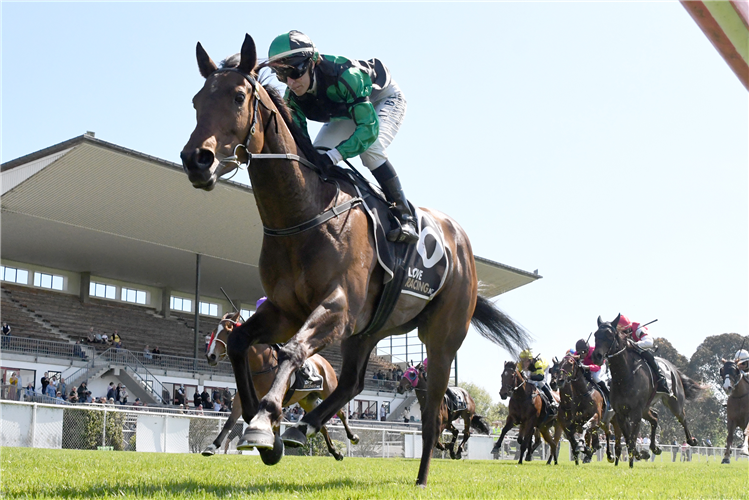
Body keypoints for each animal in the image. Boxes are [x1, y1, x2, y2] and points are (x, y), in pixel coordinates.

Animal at [202, 310, 360, 462]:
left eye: (229, 331)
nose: (211, 356)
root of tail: (324, 362)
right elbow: (230, 422)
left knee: (341, 413)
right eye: (214, 330)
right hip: (307, 400)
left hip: (329, 390)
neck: (262, 364)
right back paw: (335, 452)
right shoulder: (240, 399)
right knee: (322, 425)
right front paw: (212, 446)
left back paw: (352, 437)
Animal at [592, 314, 700, 466]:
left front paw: (636, 458)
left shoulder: (636, 412)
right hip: (646, 408)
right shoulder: (620, 413)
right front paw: (640, 454)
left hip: (673, 402)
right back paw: (654, 448)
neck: (624, 377)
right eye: (596, 334)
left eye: (609, 334)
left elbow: (632, 438)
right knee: (654, 417)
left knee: (682, 417)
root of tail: (674, 369)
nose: (596, 356)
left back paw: (691, 440)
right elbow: (628, 438)